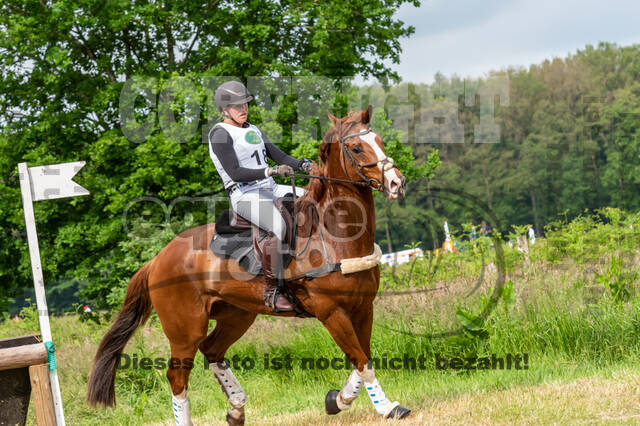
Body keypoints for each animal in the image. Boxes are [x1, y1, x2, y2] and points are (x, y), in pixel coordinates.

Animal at [87, 106, 410, 425]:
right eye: (356, 148)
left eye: (379, 140)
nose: (397, 183)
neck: (334, 235)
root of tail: (157, 260)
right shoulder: (332, 313)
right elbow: (362, 362)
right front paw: (387, 407)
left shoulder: (362, 308)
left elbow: (363, 360)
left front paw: (337, 400)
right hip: (185, 331)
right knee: (177, 377)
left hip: (237, 315)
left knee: (212, 350)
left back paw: (236, 407)